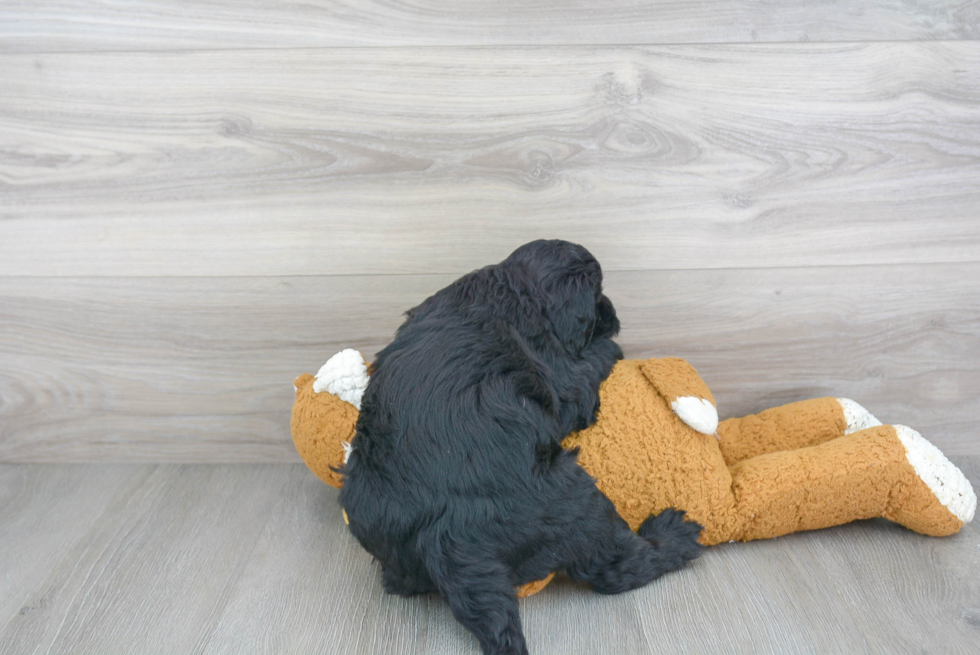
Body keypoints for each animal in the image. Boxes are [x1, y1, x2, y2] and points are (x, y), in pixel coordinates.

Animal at [340, 241, 700, 655]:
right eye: (597, 295)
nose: (613, 313)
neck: (509, 287)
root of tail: (446, 541)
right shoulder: (565, 380)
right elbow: (587, 369)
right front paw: (611, 346)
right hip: (577, 504)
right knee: (615, 566)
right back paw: (674, 536)